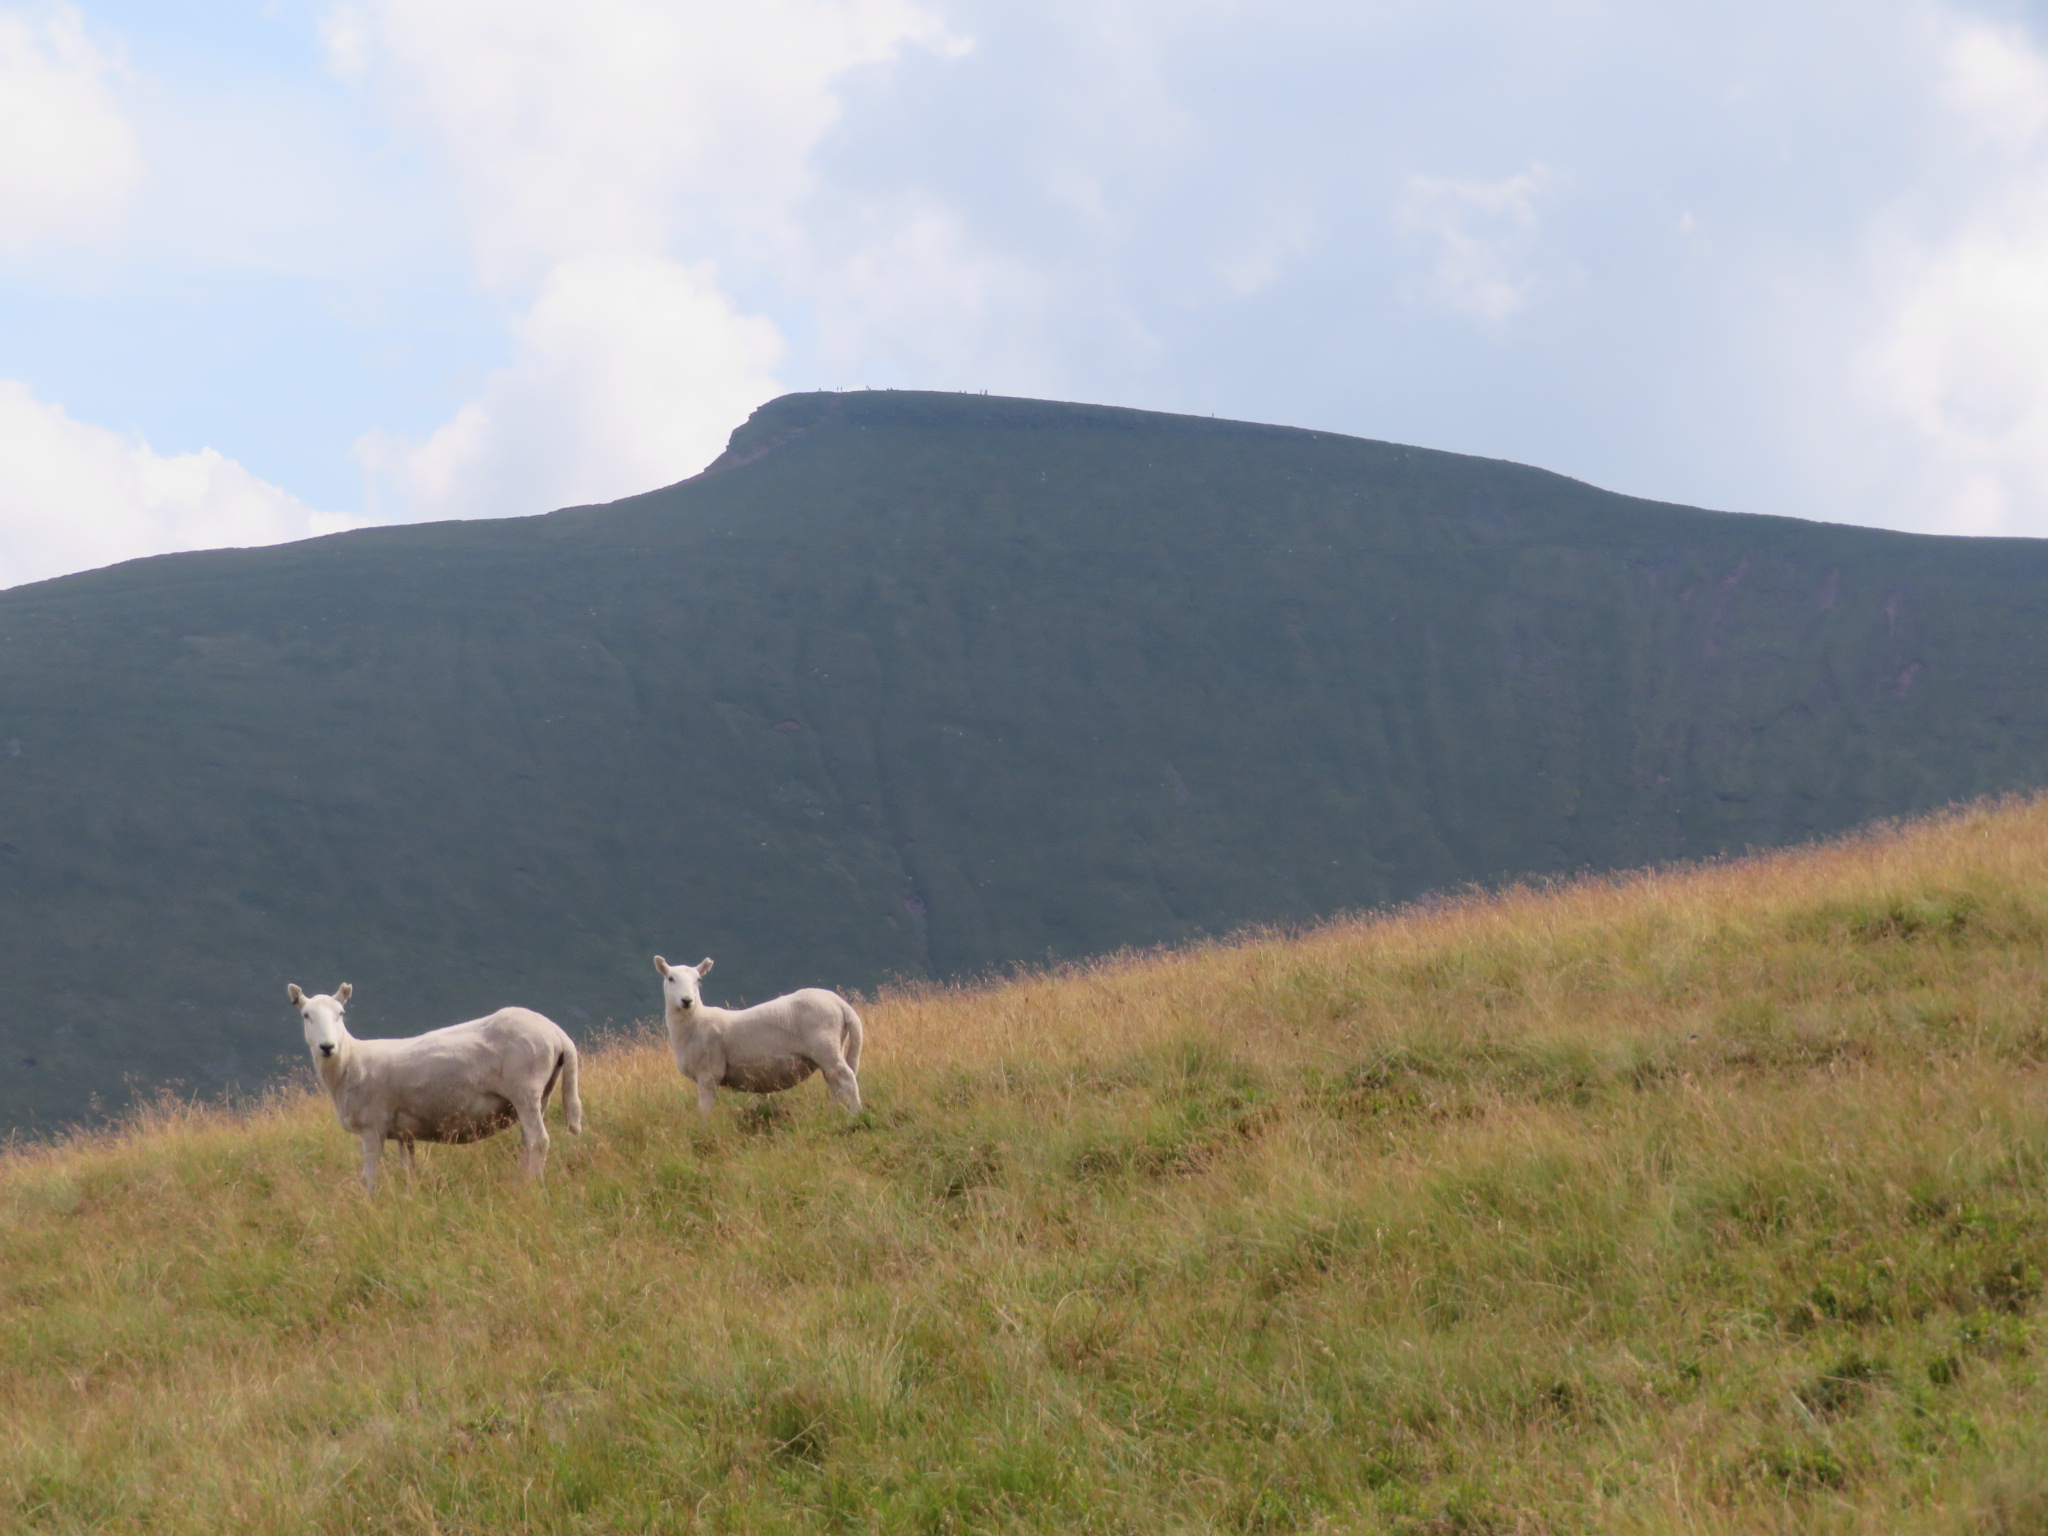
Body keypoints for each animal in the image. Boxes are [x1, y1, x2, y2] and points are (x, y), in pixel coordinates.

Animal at [286, 987, 585, 1187]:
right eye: (306, 1015)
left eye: (341, 1014)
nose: (327, 1047)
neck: (350, 1062)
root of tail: (556, 1032)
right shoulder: (403, 1133)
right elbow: (409, 1169)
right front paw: (410, 1200)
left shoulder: (372, 1128)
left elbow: (369, 1178)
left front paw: (369, 1209)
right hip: (542, 1094)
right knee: (528, 1141)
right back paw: (521, 1181)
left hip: (525, 1088)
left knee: (539, 1141)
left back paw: (529, 1186)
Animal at [655, 962, 864, 1122]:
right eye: (671, 978)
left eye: (698, 979)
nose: (687, 1001)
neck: (696, 1021)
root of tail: (840, 1004)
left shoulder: (708, 1075)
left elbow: (704, 1111)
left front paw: (704, 1131)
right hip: (830, 1050)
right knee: (835, 1085)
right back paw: (832, 1114)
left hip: (825, 1047)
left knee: (847, 1078)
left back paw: (856, 1114)